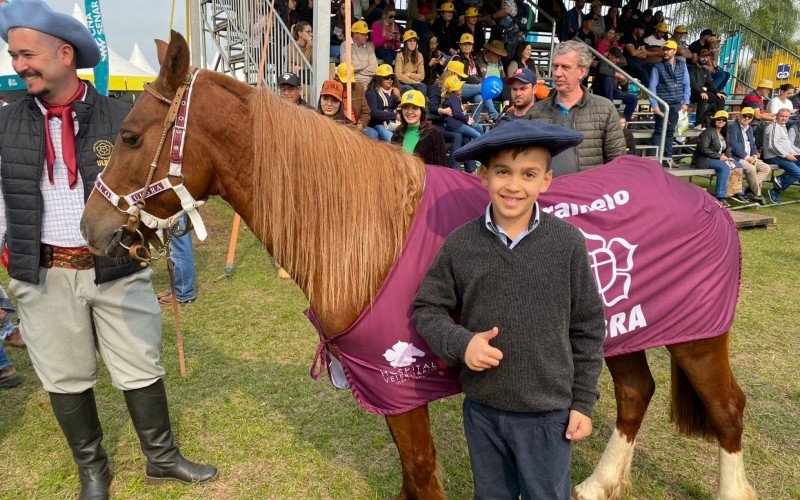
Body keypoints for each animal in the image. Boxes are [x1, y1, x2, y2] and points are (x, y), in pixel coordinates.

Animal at [79, 33, 756, 498]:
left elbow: (423, 474)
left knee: (726, 410)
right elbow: (412, 479)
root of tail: (701, 197)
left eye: (133, 135)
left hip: (699, 338)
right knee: (636, 394)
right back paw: (597, 485)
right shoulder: (387, 388)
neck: (365, 231)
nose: (92, 231)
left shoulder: (402, 389)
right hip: (623, 331)